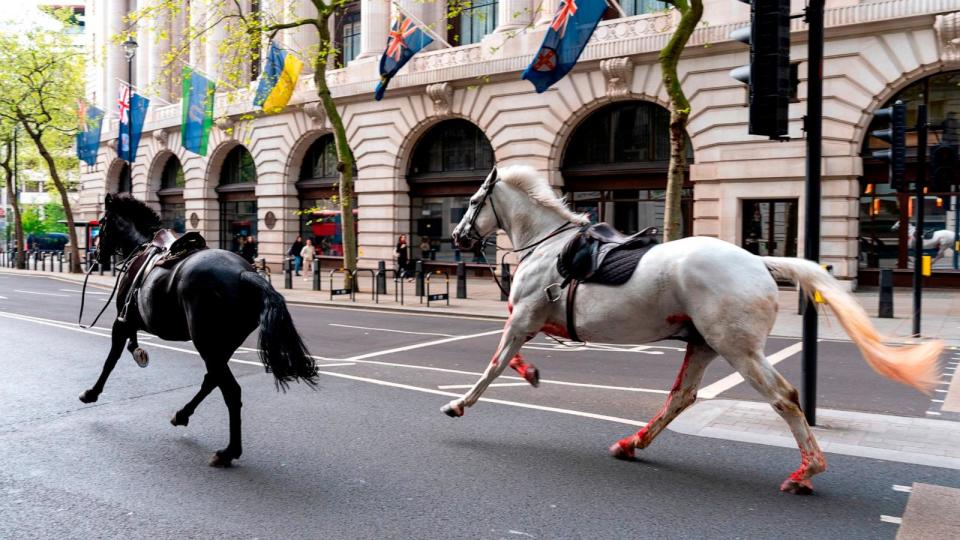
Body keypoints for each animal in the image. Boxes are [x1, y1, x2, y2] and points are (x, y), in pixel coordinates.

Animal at [79, 195, 318, 468]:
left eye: (102, 224)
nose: (95, 254)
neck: (142, 247)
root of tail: (245, 273)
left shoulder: (122, 321)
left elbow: (110, 360)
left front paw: (91, 393)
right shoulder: (131, 321)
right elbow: (129, 346)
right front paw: (137, 352)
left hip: (207, 343)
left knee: (231, 391)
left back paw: (228, 452)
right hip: (221, 345)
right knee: (212, 380)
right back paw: (183, 415)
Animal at [446, 165, 940, 494]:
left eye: (471, 202)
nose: (457, 236)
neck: (549, 246)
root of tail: (760, 263)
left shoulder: (523, 317)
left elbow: (494, 364)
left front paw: (459, 404)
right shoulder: (529, 320)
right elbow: (510, 359)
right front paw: (529, 373)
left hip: (737, 348)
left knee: (784, 397)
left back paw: (806, 472)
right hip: (704, 344)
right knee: (682, 396)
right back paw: (632, 442)